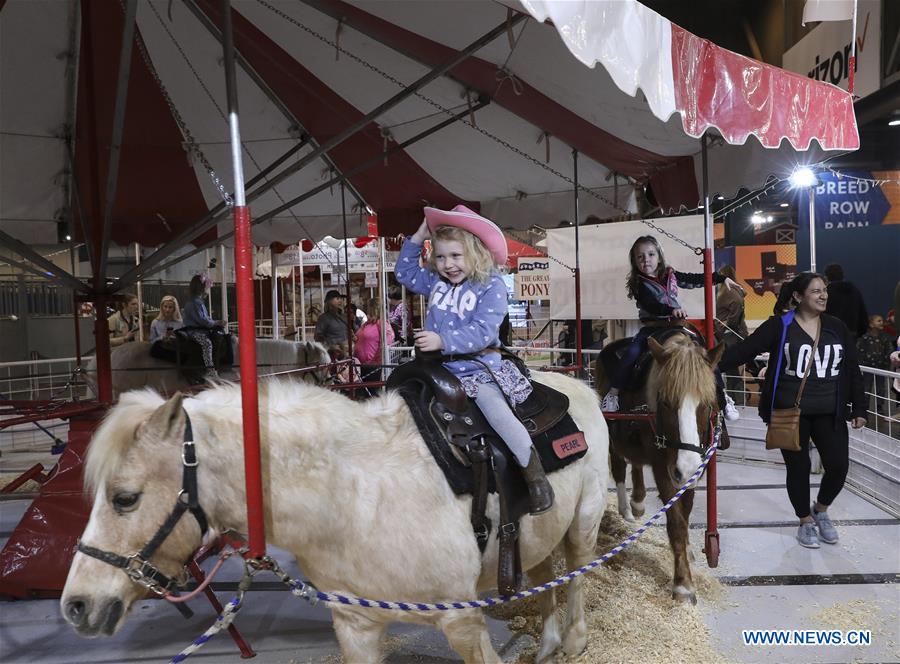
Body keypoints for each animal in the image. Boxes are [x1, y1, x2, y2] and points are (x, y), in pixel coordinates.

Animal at [61, 370, 612, 660]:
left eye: (124, 498)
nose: (76, 606)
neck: (355, 499)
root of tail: (577, 385)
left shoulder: (463, 623)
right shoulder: (356, 626)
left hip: (583, 524)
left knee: (577, 571)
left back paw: (575, 639)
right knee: (543, 573)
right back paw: (547, 642)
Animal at [596, 334, 724, 604]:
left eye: (706, 404)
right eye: (665, 401)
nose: (686, 467)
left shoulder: (691, 472)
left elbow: (685, 512)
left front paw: (688, 550)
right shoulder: (664, 469)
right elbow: (676, 523)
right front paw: (683, 584)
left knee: (635, 463)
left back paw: (638, 501)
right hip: (611, 435)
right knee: (620, 466)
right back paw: (626, 508)